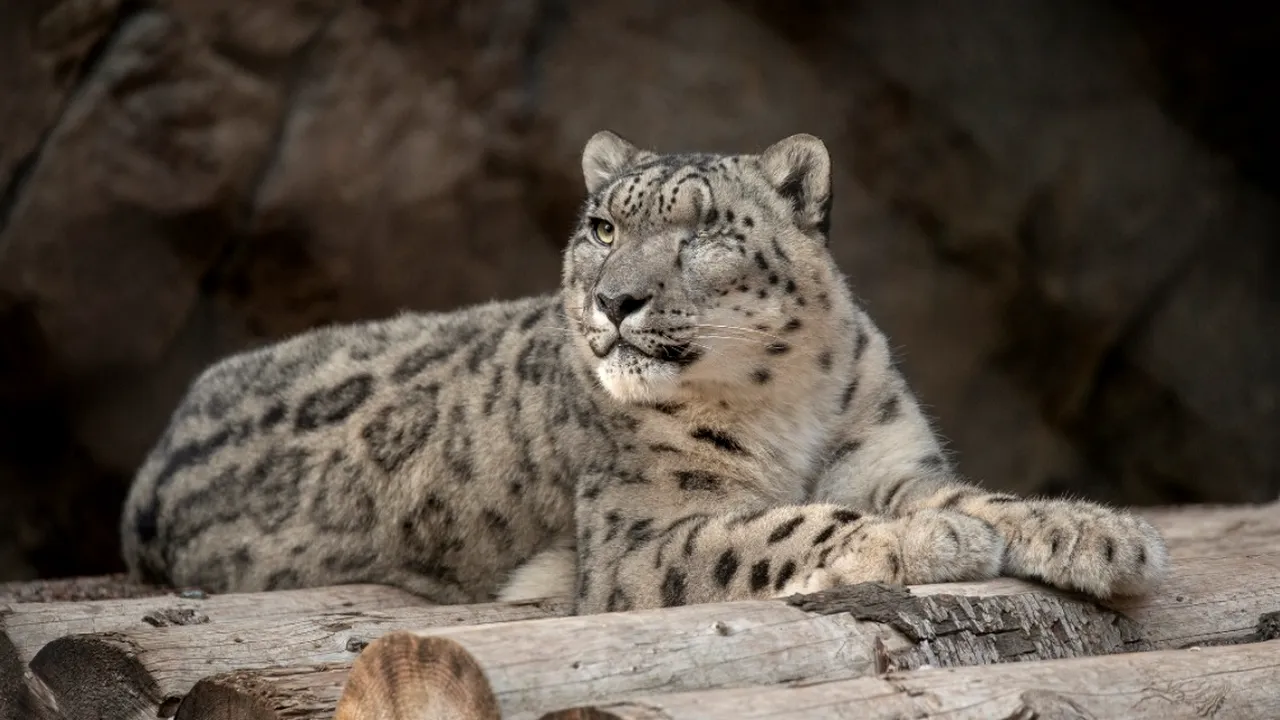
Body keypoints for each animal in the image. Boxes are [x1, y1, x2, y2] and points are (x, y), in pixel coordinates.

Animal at [120, 131, 1169, 613]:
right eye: (602, 228)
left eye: (702, 231)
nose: (614, 299)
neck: (787, 405)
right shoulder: (642, 532)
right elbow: (779, 525)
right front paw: (927, 543)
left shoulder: (886, 459)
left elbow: (973, 495)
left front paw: (1099, 533)